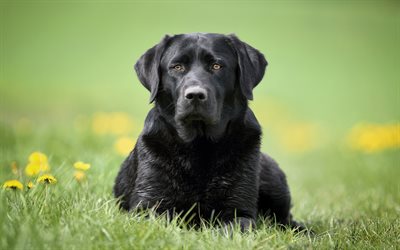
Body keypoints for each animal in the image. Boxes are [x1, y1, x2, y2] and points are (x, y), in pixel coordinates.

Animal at [114, 33, 304, 232]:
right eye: (177, 67)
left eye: (216, 66)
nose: (195, 95)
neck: (200, 144)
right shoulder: (148, 208)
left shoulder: (239, 212)